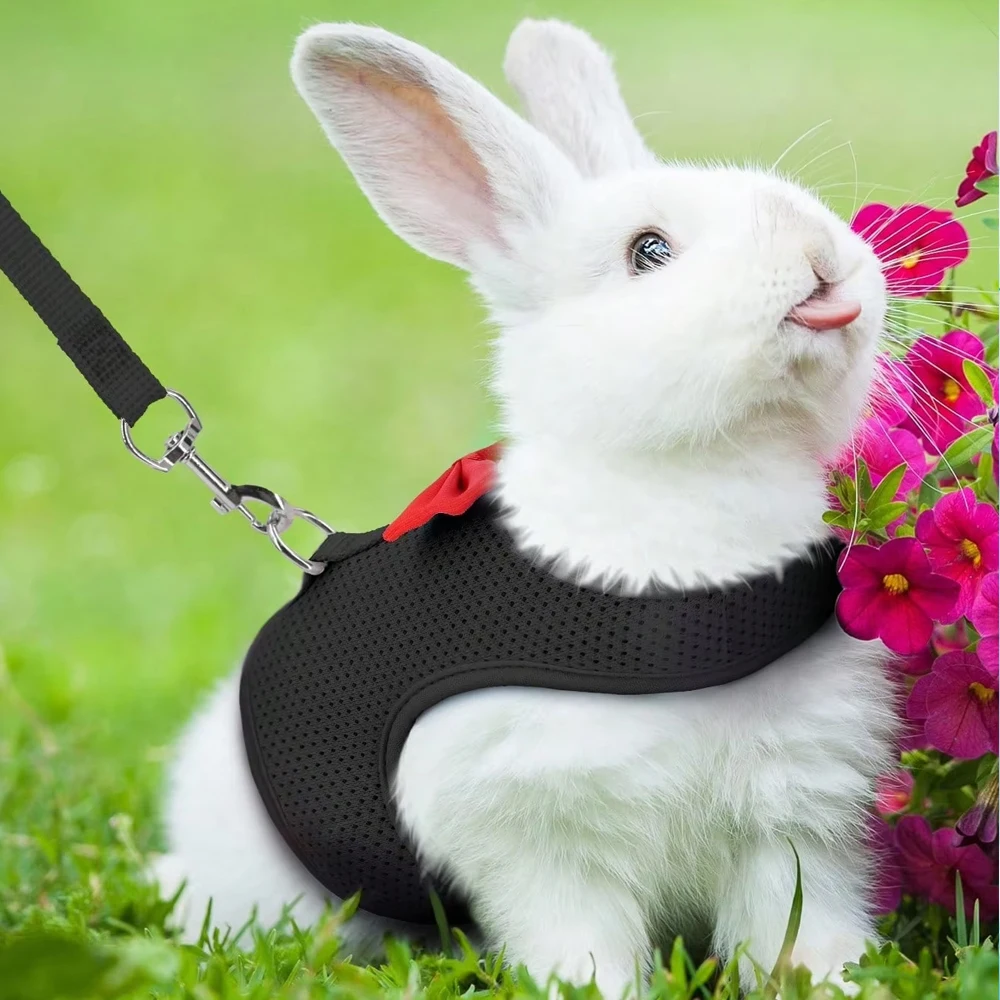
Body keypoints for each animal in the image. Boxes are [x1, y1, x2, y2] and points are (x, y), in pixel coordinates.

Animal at [157, 18, 900, 996]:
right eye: (649, 251)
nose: (822, 254)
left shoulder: (795, 821)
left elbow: (799, 931)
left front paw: (841, 979)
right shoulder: (539, 836)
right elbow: (577, 940)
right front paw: (596, 986)